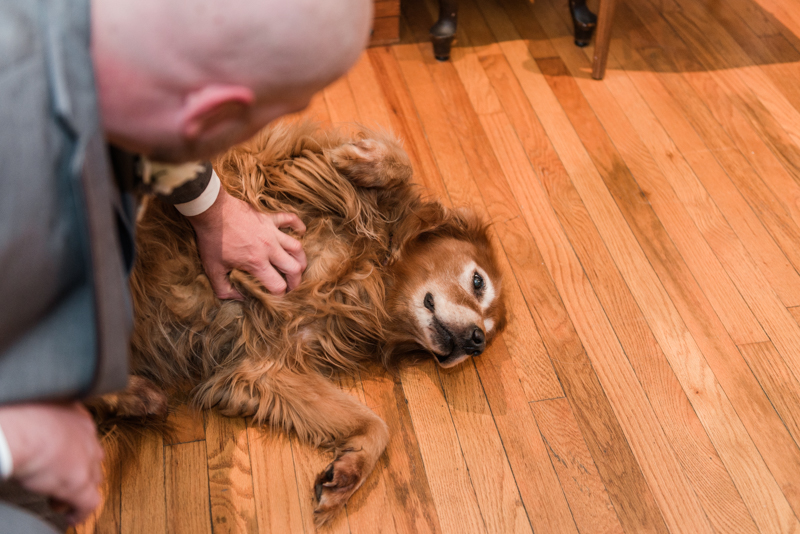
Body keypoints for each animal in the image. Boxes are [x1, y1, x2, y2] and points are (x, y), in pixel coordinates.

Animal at [95, 123, 506, 524]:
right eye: (478, 281)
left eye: (488, 330)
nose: (477, 342)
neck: (373, 278)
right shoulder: (271, 171)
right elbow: (393, 159)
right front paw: (361, 160)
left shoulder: (264, 364)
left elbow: (377, 425)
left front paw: (350, 470)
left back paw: (138, 398)